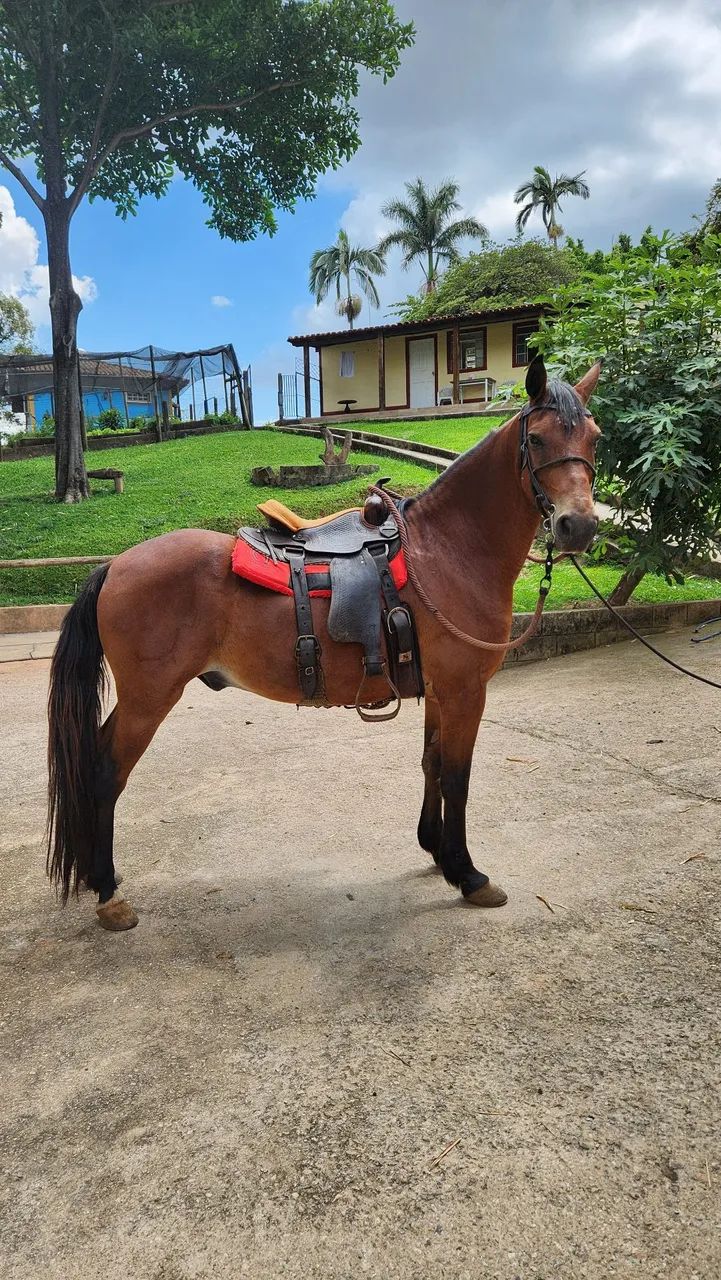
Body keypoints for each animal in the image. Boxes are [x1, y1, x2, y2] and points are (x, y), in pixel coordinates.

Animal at [46, 354, 602, 931]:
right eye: (536, 439)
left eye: (595, 438)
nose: (578, 525)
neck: (448, 550)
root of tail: (114, 566)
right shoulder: (465, 690)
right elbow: (457, 778)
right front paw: (467, 873)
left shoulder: (440, 691)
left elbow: (431, 762)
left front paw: (434, 850)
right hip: (148, 700)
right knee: (105, 774)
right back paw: (107, 892)